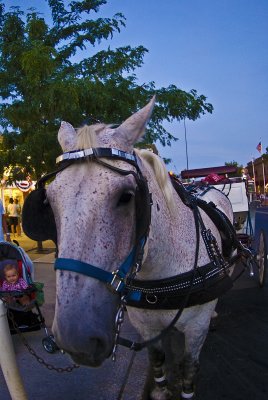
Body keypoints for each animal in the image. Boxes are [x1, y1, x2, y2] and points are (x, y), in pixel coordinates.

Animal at [23, 97, 237, 400]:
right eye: (50, 201)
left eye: (127, 197)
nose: (76, 339)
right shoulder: (145, 326)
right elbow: (158, 359)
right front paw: (160, 390)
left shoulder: (196, 329)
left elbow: (188, 368)